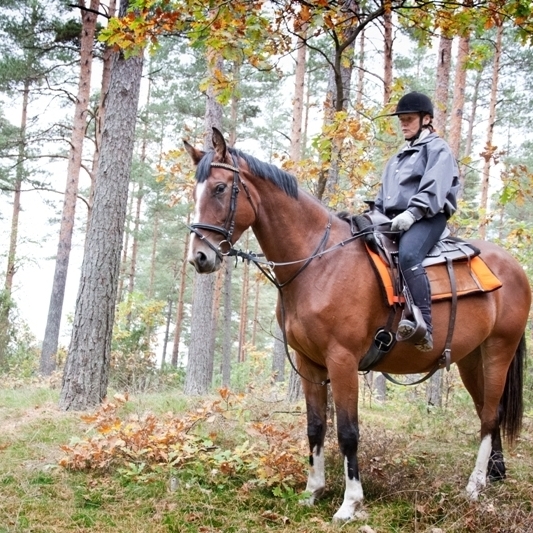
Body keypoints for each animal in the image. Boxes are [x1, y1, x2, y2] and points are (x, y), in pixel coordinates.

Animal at [185, 128, 528, 520]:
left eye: (220, 188)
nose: (199, 256)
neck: (318, 262)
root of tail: (515, 267)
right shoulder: (309, 363)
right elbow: (315, 427)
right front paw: (312, 491)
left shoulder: (342, 360)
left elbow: (348, 432)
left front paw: (350, 503)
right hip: (471, 358)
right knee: (489, 410)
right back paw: (494, 475)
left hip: (498, 350)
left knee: (489, 415)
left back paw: (474, 486)